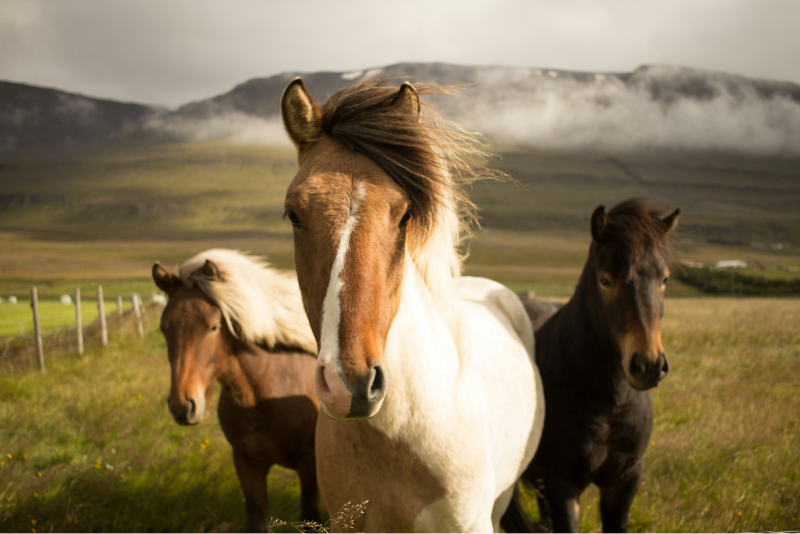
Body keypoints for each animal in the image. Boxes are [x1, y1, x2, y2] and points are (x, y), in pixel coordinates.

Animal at [153, 249, 322, 532]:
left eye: (213, 327)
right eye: (164, 327)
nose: (182, 406)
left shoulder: (309, 464)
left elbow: (312, 517)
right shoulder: (246, 464)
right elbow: (256, 519)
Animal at [504, 200, 680, 534]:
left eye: (663, 279)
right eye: (605, 280)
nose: (648, 365)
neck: (610, 404)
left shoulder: (624, 482)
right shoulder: (562, 484)